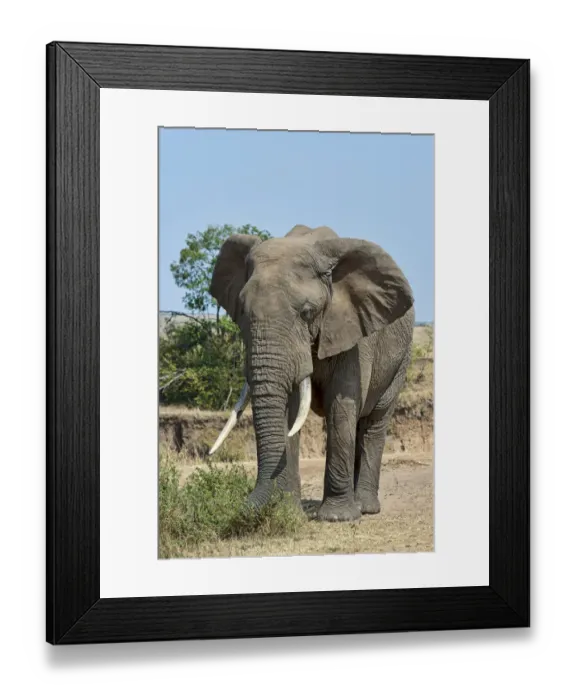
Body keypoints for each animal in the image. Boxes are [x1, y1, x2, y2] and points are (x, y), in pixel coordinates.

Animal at [208, 224, 415, 522]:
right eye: (243, 311)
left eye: (307, 312)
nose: (243, 507)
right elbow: (292, 410)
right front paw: (288, 513)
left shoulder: (353, 331)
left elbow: (341, 406)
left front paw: (337, 518)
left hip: (401, 359)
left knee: (374, 420)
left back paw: (364, 507)